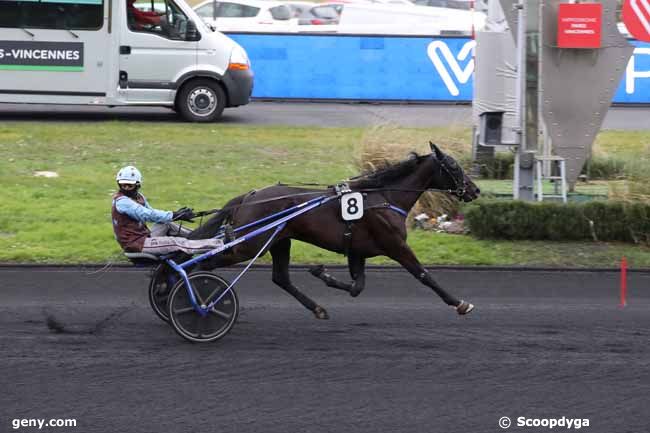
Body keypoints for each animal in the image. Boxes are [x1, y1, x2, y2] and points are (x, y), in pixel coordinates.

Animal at [187, 143, 476, 318]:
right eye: (453, 166)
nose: (474, 190)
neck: (385, 196)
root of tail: (250, 196)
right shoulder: (395, 245)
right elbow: (424, 275)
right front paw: (459, 302)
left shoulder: (358, 251)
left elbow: (357, 287)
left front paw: (321, 273)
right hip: (250, 246)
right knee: (204, 263)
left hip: (279, 241)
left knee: (281, 278)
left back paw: (317, 309)